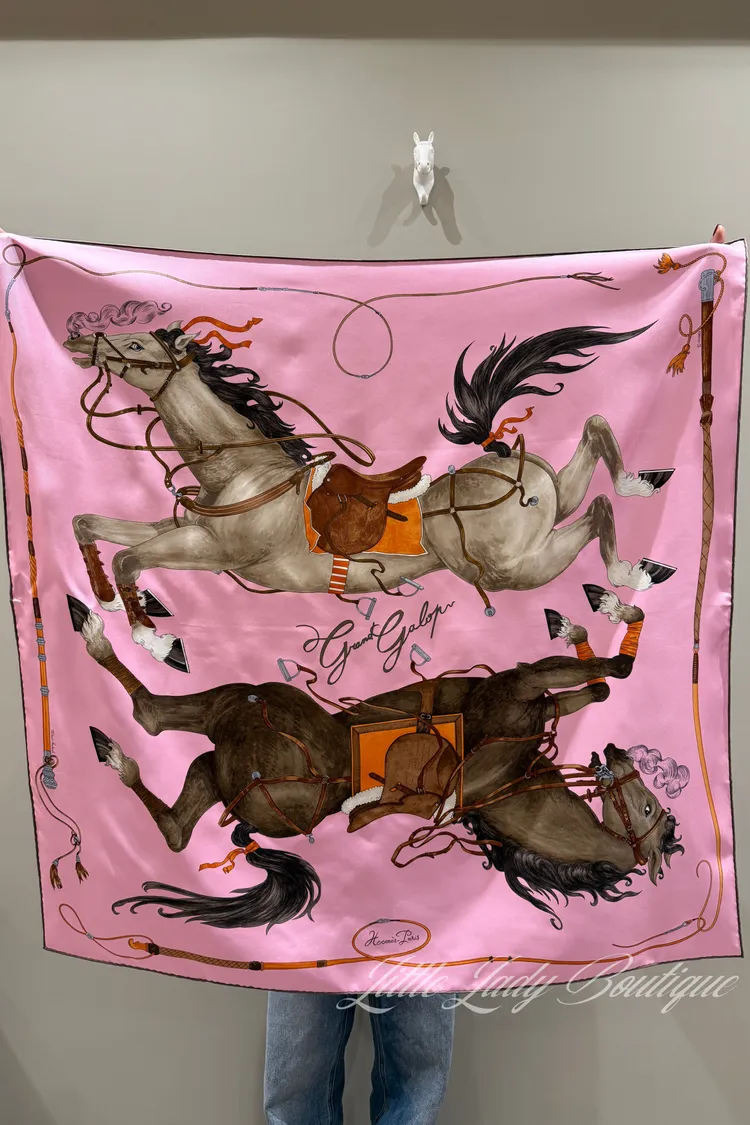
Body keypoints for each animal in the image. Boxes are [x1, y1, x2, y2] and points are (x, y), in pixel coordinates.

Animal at [63, 307, 675, 669]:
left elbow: (130, 558)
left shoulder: (214, 551)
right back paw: (638, 506)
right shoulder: (181, 529)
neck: (240, 473)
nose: (77, 340)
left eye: (137, 346)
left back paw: (627, 579)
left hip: (511, 569)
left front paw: (154, 639)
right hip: (544, 513)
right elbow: (89, 524)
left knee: (596, 507)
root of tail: (503, 459)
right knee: (593, 456)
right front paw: (109, 601)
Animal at [68, 587, 685, 932]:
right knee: (162, 741)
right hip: (241, 720)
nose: (617, 753)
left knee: (159, 744)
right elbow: (601, 684)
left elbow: (604, 682)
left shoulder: (518, 707)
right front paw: (600, 619)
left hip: (238, 735)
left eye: (648, 808)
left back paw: (111, 723)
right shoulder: (523, 690)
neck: (516, 784)